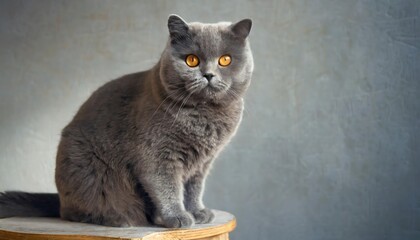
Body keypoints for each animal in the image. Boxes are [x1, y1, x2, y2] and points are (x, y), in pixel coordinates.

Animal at [0, 14, 253, 228]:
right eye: (192, 60)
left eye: (225, 60)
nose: (208, 74)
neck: (204, 115)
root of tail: (60, 198)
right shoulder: (156, 156)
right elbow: (167, 188)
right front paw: (177, 217)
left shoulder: (202, 163)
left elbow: (193, 188)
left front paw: (197, 212)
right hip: (90, 173)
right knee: (76, 211)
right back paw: (119, 218)